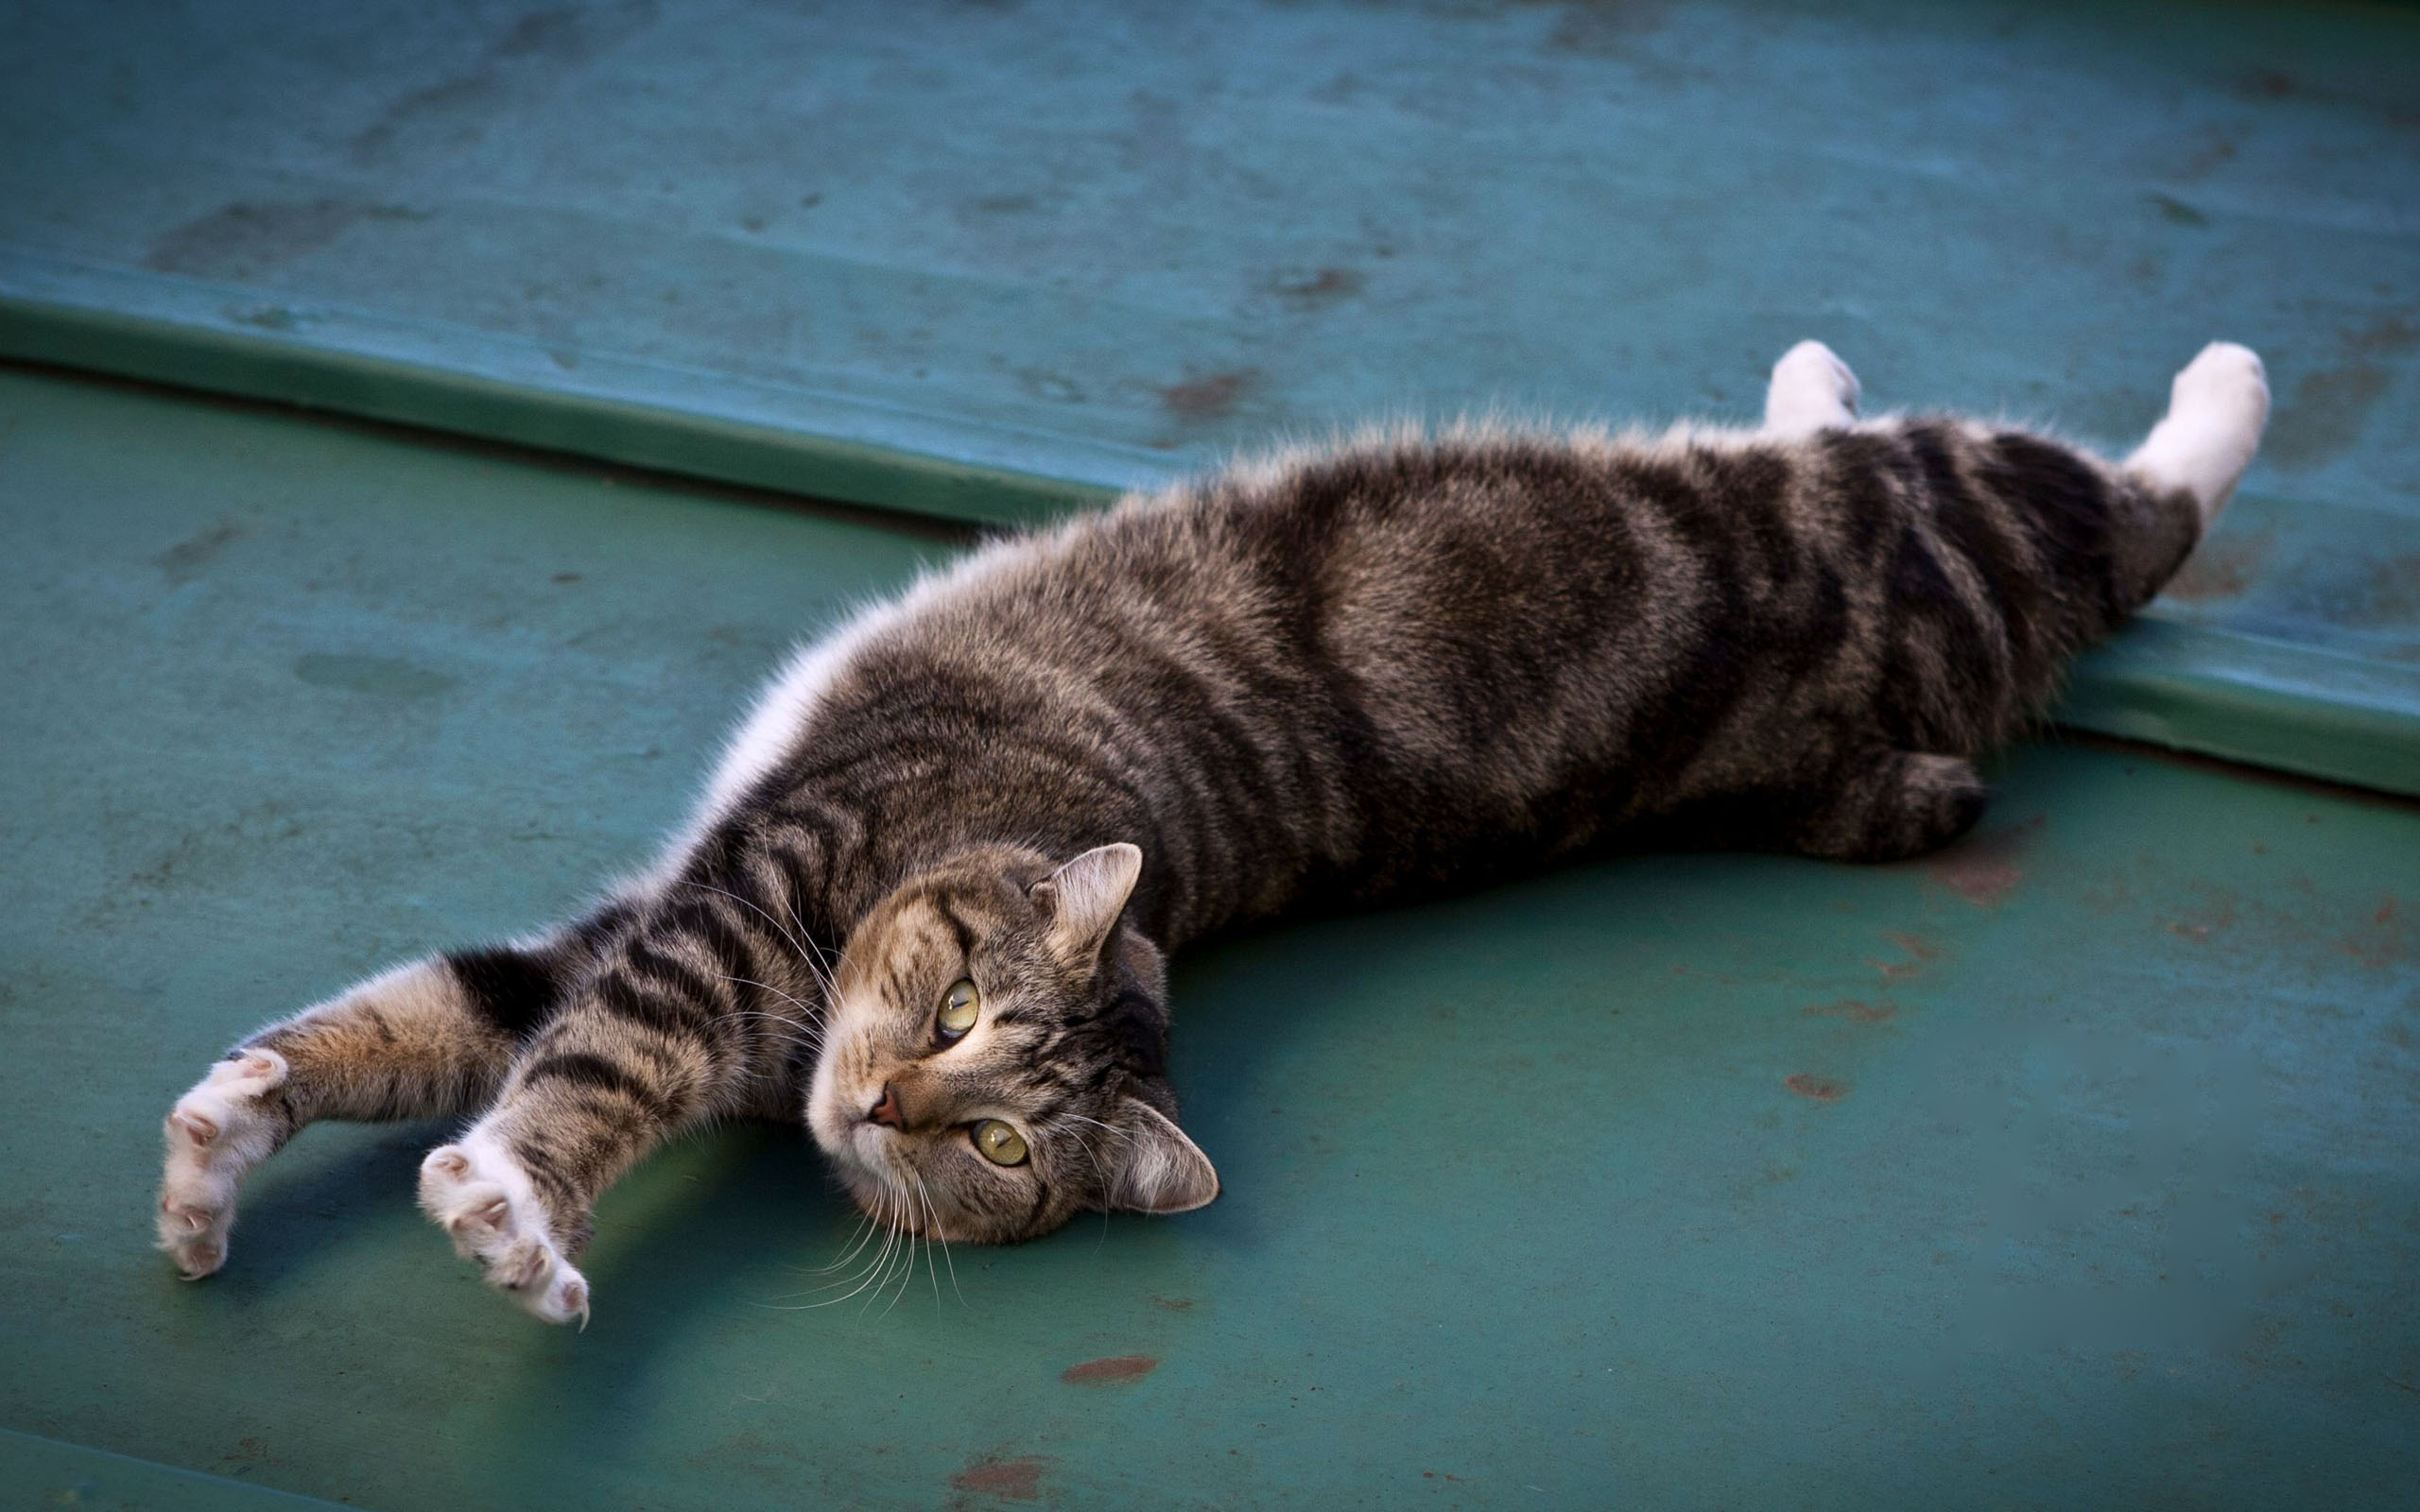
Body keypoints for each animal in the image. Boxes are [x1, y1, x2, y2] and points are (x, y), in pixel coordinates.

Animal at [151, 338, 2265, 1315]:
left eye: (1000, 1143)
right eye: (950, 1016)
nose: (886, 1106)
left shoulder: (698, 946)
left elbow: (564, 1077)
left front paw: (510, 1217)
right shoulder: (686, 916)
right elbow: (417, 1020)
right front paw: (220, 1148)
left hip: (1954, 525)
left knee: (2141, 511)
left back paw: (2224, 385)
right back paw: (1811, 375)